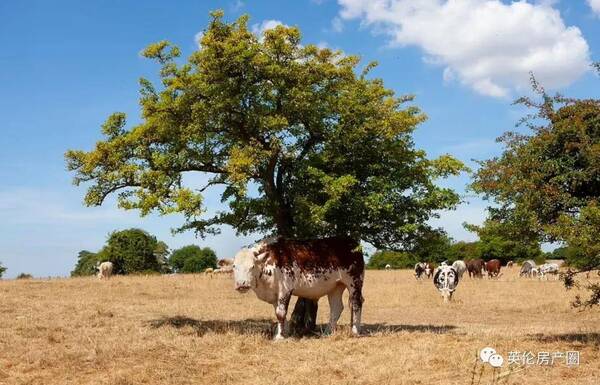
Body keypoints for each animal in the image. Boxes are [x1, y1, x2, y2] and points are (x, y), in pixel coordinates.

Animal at [232, 234, 364, 340]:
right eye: (234, 266)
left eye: (252, 266)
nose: (242, 284)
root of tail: (351, 241)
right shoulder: (274, 293)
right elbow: (278, 313)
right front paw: (284, 332)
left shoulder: (285, 289)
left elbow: (280, 313)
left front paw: (280, 337)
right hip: (336, 286)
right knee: (336, 307)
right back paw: (327, 333)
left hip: (354, 282)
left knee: (356, 304)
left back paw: (355, 332)